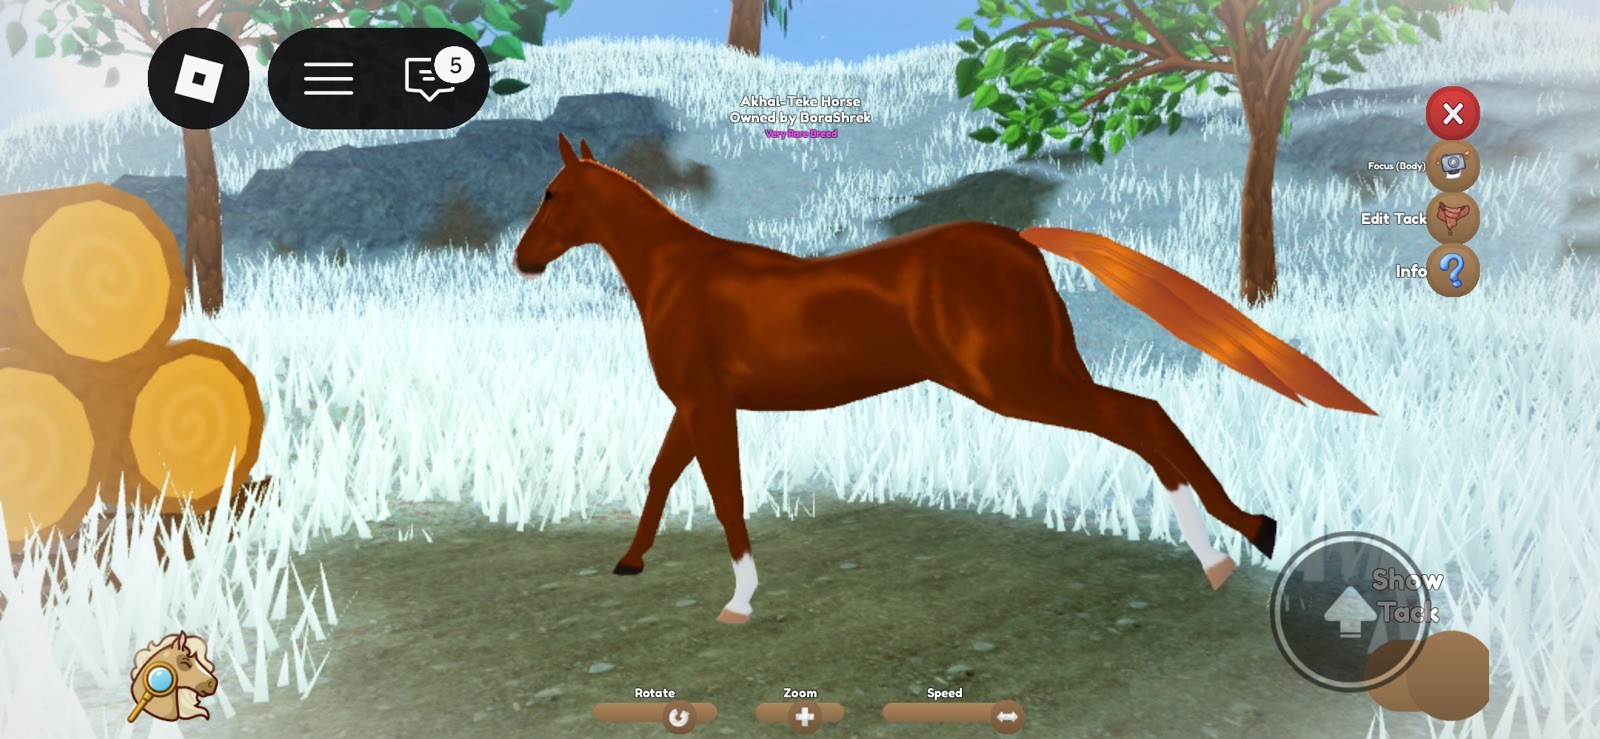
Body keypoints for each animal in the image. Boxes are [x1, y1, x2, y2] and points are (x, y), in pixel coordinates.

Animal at [515, 134, 1374, 625]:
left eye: (553, 195)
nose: (522, 259)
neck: (677, 275)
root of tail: (1020, 239)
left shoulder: (708, 403)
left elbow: (724, 493)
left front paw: (739, 600)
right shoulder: (694, 406)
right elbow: (662, 475)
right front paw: (630, 561)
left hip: (1015, 383)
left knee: (1140, 418)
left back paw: (1235, 544)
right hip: (1040, 372)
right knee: (1146, 418)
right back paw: (1236, 545)